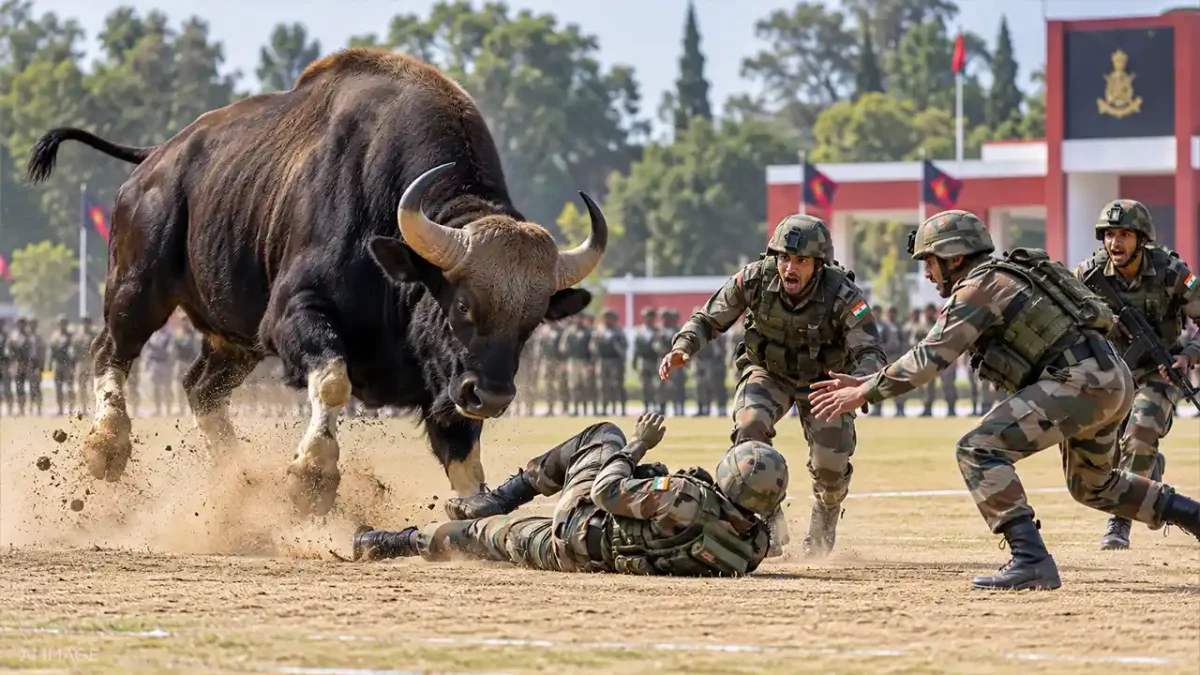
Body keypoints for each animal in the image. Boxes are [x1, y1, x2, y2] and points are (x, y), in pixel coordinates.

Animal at [25, 49, 607, 515]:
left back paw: (237, 481)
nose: (492, 394)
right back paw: (107, 446)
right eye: (462, 304)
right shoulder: (292, 314)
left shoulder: (446, 386)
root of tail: (155, 161)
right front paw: (311, 476)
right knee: (110, 351)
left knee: (199, 389)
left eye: (532, 321)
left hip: (232, 338)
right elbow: (333, 379)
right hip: (137, 285)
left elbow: (466, 457)